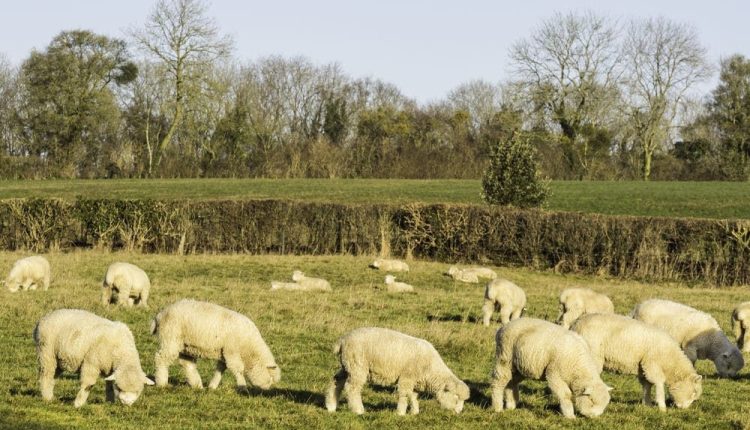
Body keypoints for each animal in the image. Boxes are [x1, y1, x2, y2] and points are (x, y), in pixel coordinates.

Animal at [153, 298, 282, 394]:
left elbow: (220, 369)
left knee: (187, 364)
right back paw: (162, 382)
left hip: (186, 346)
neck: (249, 348)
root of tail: (160, 314)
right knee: (161, 358)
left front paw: (212, 386)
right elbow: (238, 370)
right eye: (270, 379)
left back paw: (197, 385)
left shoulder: (224, 352)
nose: (265, 391)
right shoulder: (232, 352)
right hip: (170, 339)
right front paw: (243, 388)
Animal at [324, 328, 468, 414]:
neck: (431, 370)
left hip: (347, 365)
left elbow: (413, 396)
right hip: (357, 365)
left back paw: (331, 406)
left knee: (336, 381)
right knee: (352, 388)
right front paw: (401, 412)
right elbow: (404, 394)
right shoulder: (407, 377)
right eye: (456, 399)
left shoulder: (415, 380)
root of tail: (342, 340)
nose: (459, 412)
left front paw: (414, 412)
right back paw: (358, 410)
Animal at [576, 312, 704, 410]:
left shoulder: (643, 367)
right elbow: (658, 383)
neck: (669, 360)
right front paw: (662, 407)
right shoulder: (652, 364)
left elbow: (647, 385)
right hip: (593, 356)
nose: (684, 409)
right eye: (693, 392)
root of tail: (577, 323)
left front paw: (647, 404)